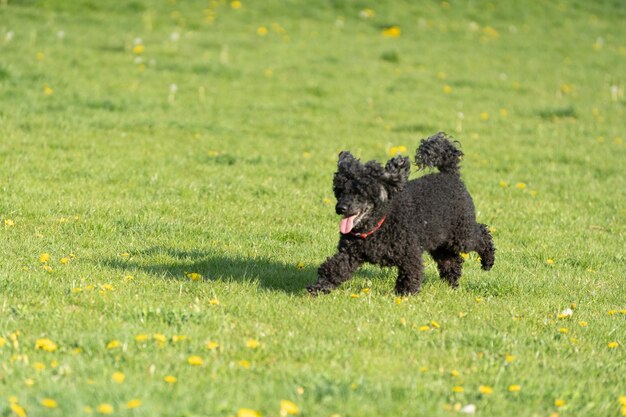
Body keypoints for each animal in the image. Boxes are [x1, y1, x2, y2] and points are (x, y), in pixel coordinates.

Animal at [308, 132, 492, 294]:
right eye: (340, 191)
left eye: (360, 192)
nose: (341, 208)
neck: (380, 223)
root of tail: (450, 175)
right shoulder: (350, 253)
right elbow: (335, 268)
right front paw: (318, 288)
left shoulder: (409, 252)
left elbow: (411, 273)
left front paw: (405, 294)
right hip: (439, 240)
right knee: (450, 260)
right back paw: (451, 283)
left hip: (462, 235)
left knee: (482, 234)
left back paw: (488, 261)